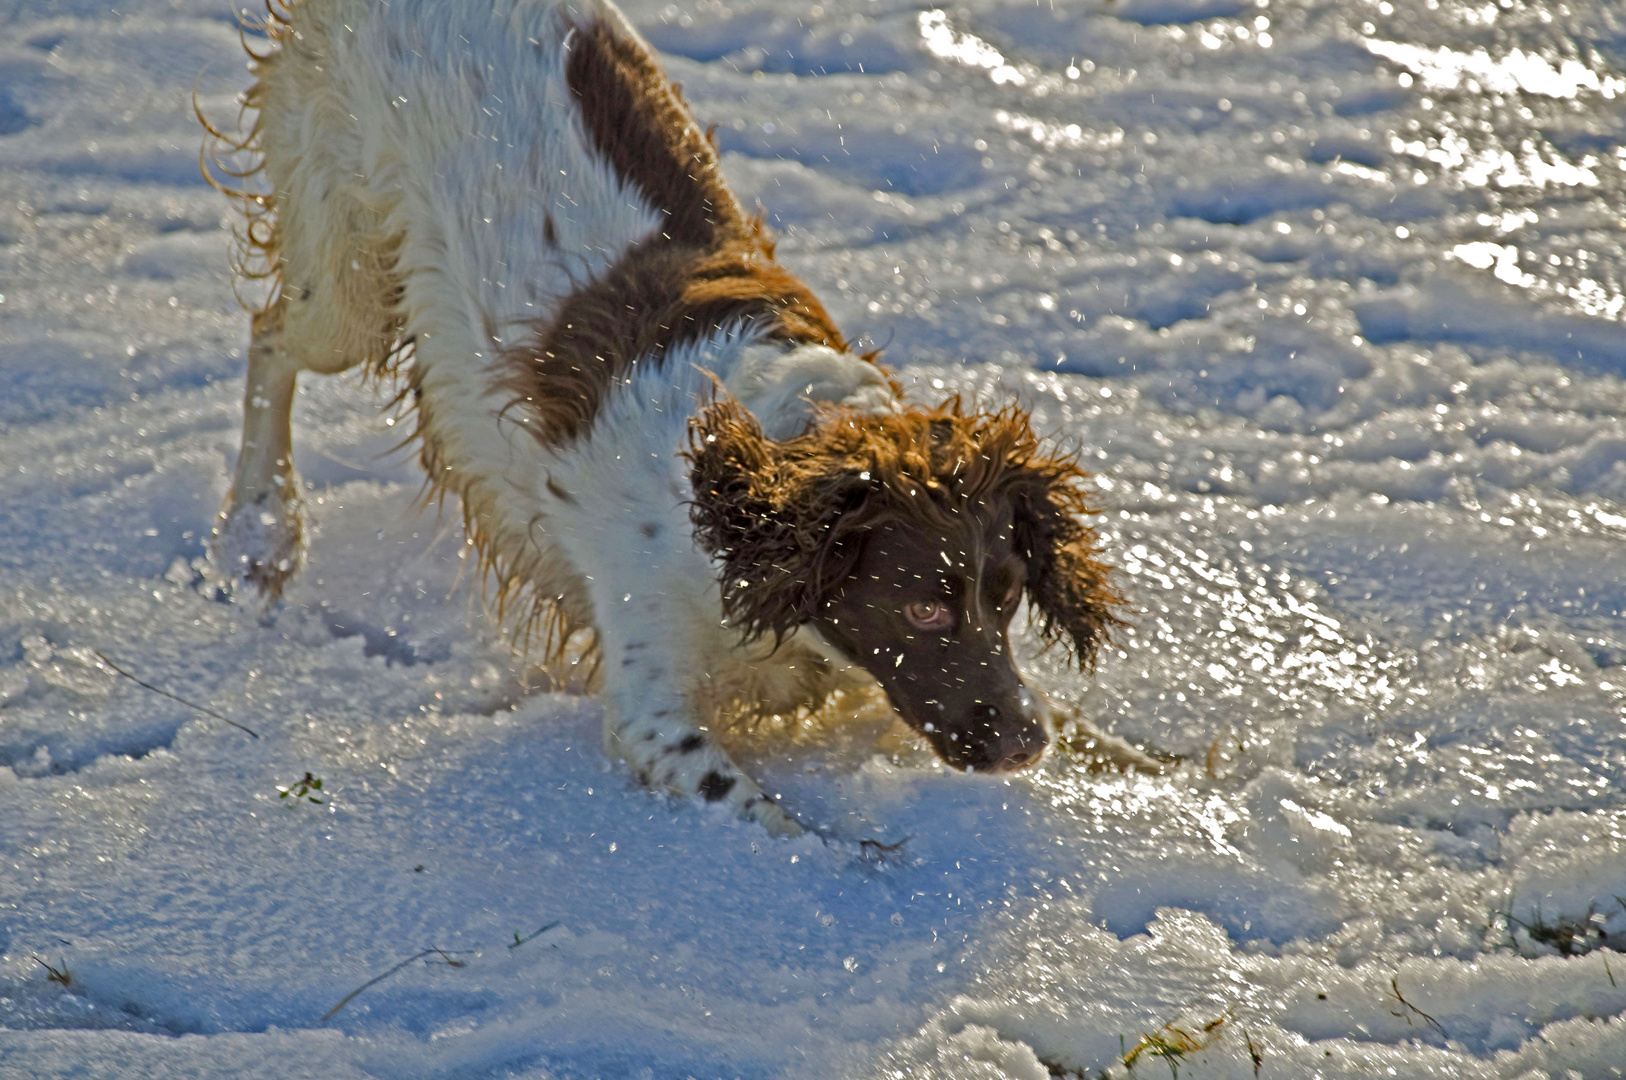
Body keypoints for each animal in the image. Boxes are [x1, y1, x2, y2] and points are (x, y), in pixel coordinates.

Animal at [206, 0, 1131, 839]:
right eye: (922, 612)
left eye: (1008, 599)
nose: (1023, 745)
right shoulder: (653, 707)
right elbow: (783, 826)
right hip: (349, 273)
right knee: (271, 340)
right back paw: (257, 535)